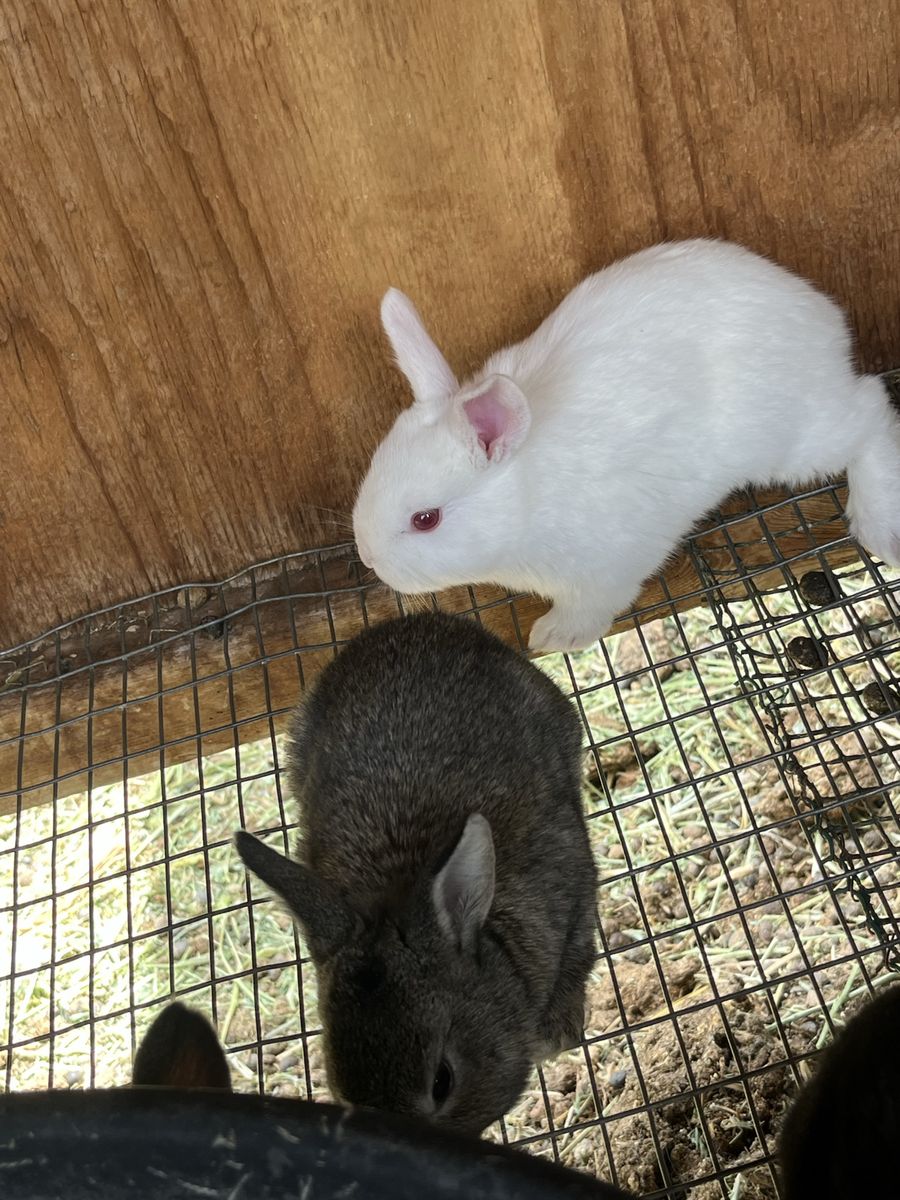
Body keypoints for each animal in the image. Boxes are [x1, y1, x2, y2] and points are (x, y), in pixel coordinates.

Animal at [352, 239, 900, 653]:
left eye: (426, 519)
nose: (370, 558)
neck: (527, 497)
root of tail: (825, 321)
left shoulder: (606, 569)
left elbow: (590, 608)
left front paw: (554, 637)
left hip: (794, 439)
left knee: (871, 410)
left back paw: (879, 527)